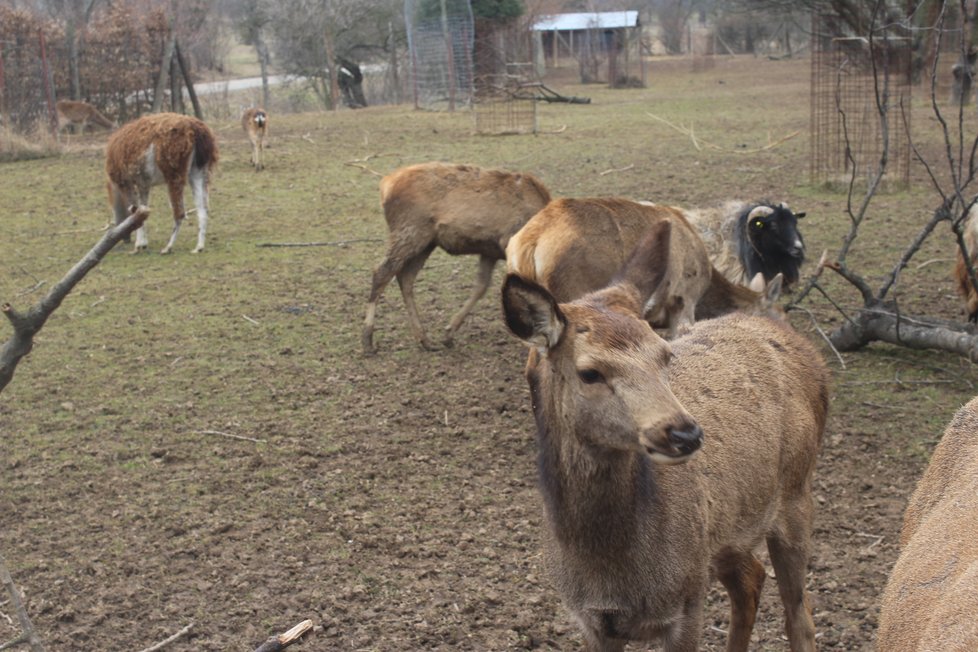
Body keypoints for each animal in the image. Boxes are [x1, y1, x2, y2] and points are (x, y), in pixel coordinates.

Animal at [107, 112, 220, 255]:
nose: (125, 239)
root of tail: (197, 130)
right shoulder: (143, 183)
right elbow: (142, 210)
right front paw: (143, 244)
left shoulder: (127, 183)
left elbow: (134, 210)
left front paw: (137, 247)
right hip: (199, 170)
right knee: (203, 209)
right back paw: (198, 247)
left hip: (174, 172)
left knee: (180, 213)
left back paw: (168, 247)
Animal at [362, 163, 552, 356]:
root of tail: (385, 184)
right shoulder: (508, 245)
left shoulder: (490, 252)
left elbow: (481, 287)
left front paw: (448, 333)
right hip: (409, 231)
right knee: (382, 272)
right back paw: (368, 341)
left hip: (426, 242)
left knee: (405, 277)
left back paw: (425, 340)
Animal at [500, 220, 828, 652]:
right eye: (590, 372)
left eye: (664, 355)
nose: (685, 433)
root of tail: (810, 354)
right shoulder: (590, 619)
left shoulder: (686, 603)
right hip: (727, 531)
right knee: (751, 580)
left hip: (796, 494)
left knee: (799, 614)